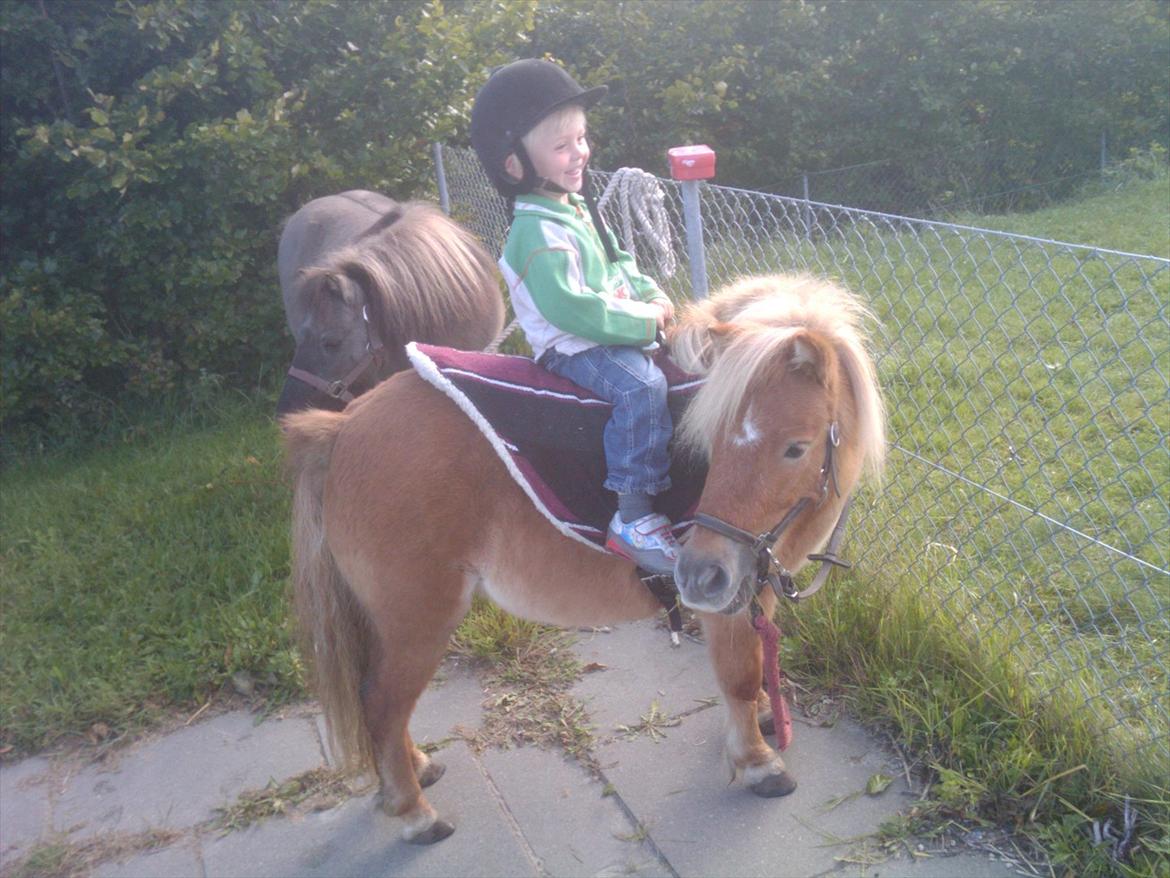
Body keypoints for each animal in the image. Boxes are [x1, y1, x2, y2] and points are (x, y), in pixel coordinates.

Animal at [283, 273, 884, 847]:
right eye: (708, 440)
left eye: (795, 448)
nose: (696, 574)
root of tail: (341, 426)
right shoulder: (730, 600)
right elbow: (738, 676)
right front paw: (757, 761)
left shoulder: (753, 584)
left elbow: (756, 669)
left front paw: (762, 715)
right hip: (418, 618)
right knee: (383, 704)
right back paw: (413, 813)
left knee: (380, 702)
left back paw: (415, 771)